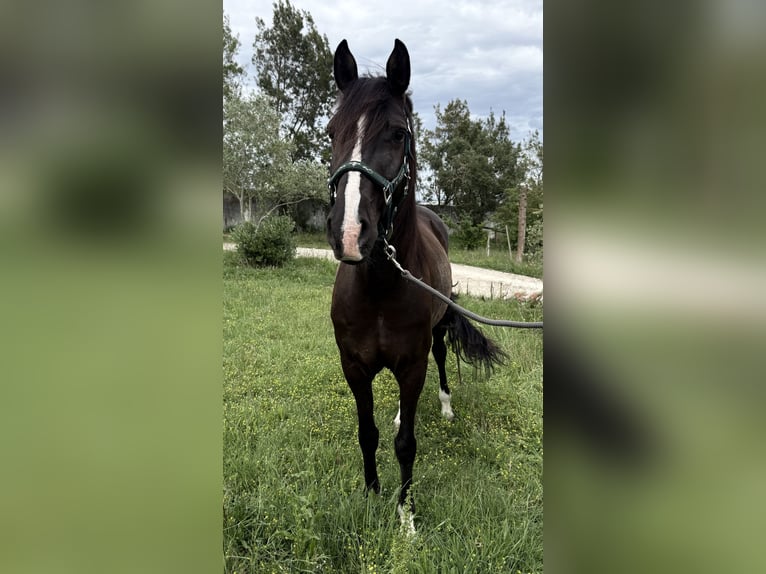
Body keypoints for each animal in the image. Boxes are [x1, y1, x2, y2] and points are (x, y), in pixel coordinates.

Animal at [325, 38, 506, 531]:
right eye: (331, 133)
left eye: (397, 134)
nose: (349, 233)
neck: (380, 287)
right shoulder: (354, 366)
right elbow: (367, 434)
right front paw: (371, 494)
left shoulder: (413, 363)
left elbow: (407, 445)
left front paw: (405, 517)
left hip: (436, 337)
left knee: (441, 361)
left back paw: (444, 407)